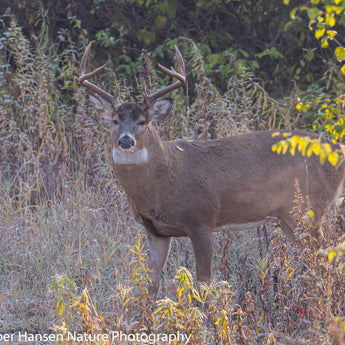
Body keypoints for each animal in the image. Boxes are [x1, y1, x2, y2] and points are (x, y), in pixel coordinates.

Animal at [79, 43, 344, 294]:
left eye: (143, 122)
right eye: (115, 121)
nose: (126, 141)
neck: (161, 181)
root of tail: (339, 148)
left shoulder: (201, 220)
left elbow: (204, 282)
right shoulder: (156, 230)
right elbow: (151, 284)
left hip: (309, 209)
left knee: (326, 258)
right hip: (289, 218)